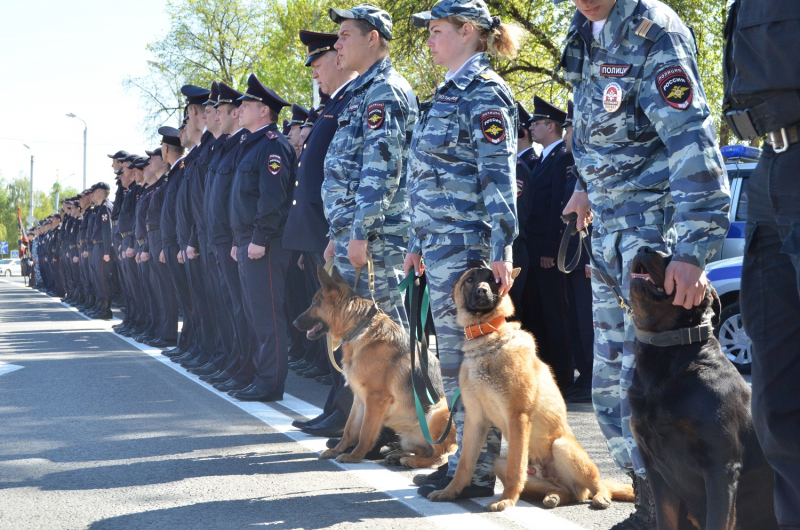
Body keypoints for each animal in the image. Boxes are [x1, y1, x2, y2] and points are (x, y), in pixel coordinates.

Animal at [428, 266, 636, 510]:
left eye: (493, 280)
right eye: (470, 279)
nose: (482, 291)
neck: (487, 338)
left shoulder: (518, 417)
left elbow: (515, 467)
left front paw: (507, 499)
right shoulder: (475, 420)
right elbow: (464, 464)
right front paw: (450, 491)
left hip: (562, 446)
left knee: (596, 485)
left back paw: (601, 496)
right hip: (499, 463)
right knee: (566, 492)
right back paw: (554, 496)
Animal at [628, 248, 780, 528]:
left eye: (672, 257)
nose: (643, 248)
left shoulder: (721, 466)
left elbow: (717, 519)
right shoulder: (655, 468)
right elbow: (665, 519)